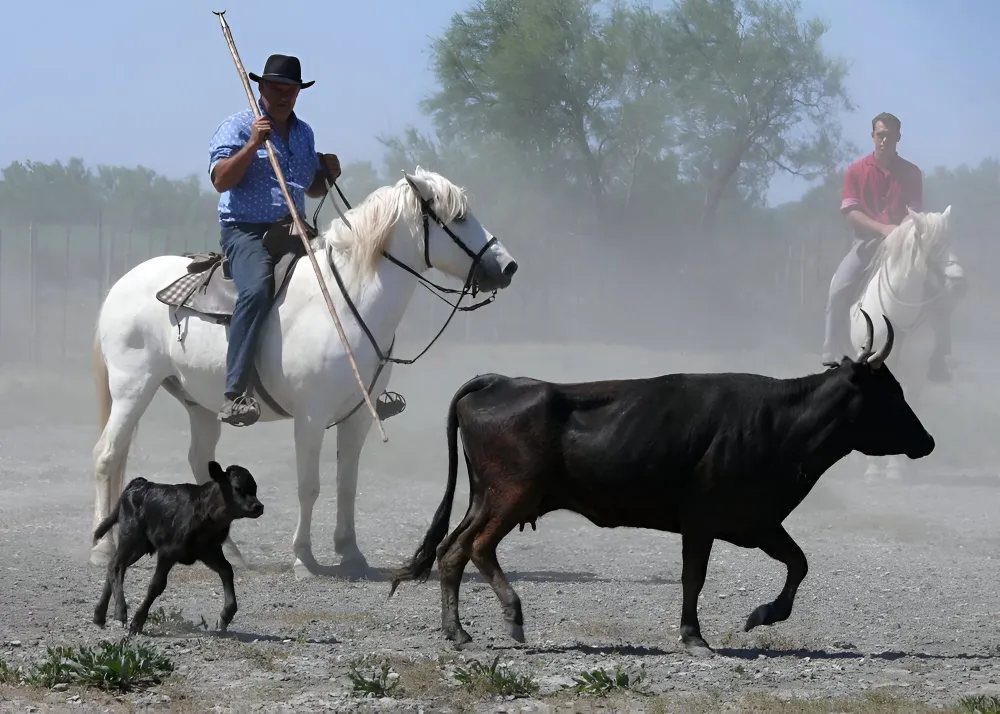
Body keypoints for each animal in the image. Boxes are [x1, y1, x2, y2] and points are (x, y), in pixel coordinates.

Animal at [92, 460, 265, 636]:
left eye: (255, 488)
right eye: (237, 488)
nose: (258, 506)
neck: (207, 511)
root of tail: (141, 483)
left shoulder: (210, 551)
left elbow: (227, 571)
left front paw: (226, 616)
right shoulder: (168, 552)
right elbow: (156, 584)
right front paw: (138, 622)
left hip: (140, 546)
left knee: (115, 566)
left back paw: (99, 615)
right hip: (130, 536)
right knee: (117, 566)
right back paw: (120, 613)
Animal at [388, 310, 934, 656]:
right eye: (891, 393)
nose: (927, 442)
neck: (778, 423)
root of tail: (499, 381)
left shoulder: (757, 522)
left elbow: (798, 563)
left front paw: (762, 615)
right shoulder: (702, 521)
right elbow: (695, 577)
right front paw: (695, 637)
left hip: (486, 496)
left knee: (452, 551)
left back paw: (457, 633)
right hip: (512, 497)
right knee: (478, 547)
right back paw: (512, 616)